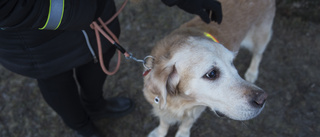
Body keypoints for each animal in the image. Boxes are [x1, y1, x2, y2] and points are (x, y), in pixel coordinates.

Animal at [142, 0, 276, 136]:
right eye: (211, 74)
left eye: (231, 63)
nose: (262, 99)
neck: (179, 101)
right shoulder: (160, 105)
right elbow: (164, 121)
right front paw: (159, 132)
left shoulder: (197, 108)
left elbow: (187, 123)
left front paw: (182, 133)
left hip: (260, 37)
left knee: (258, 54)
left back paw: (252, 72)